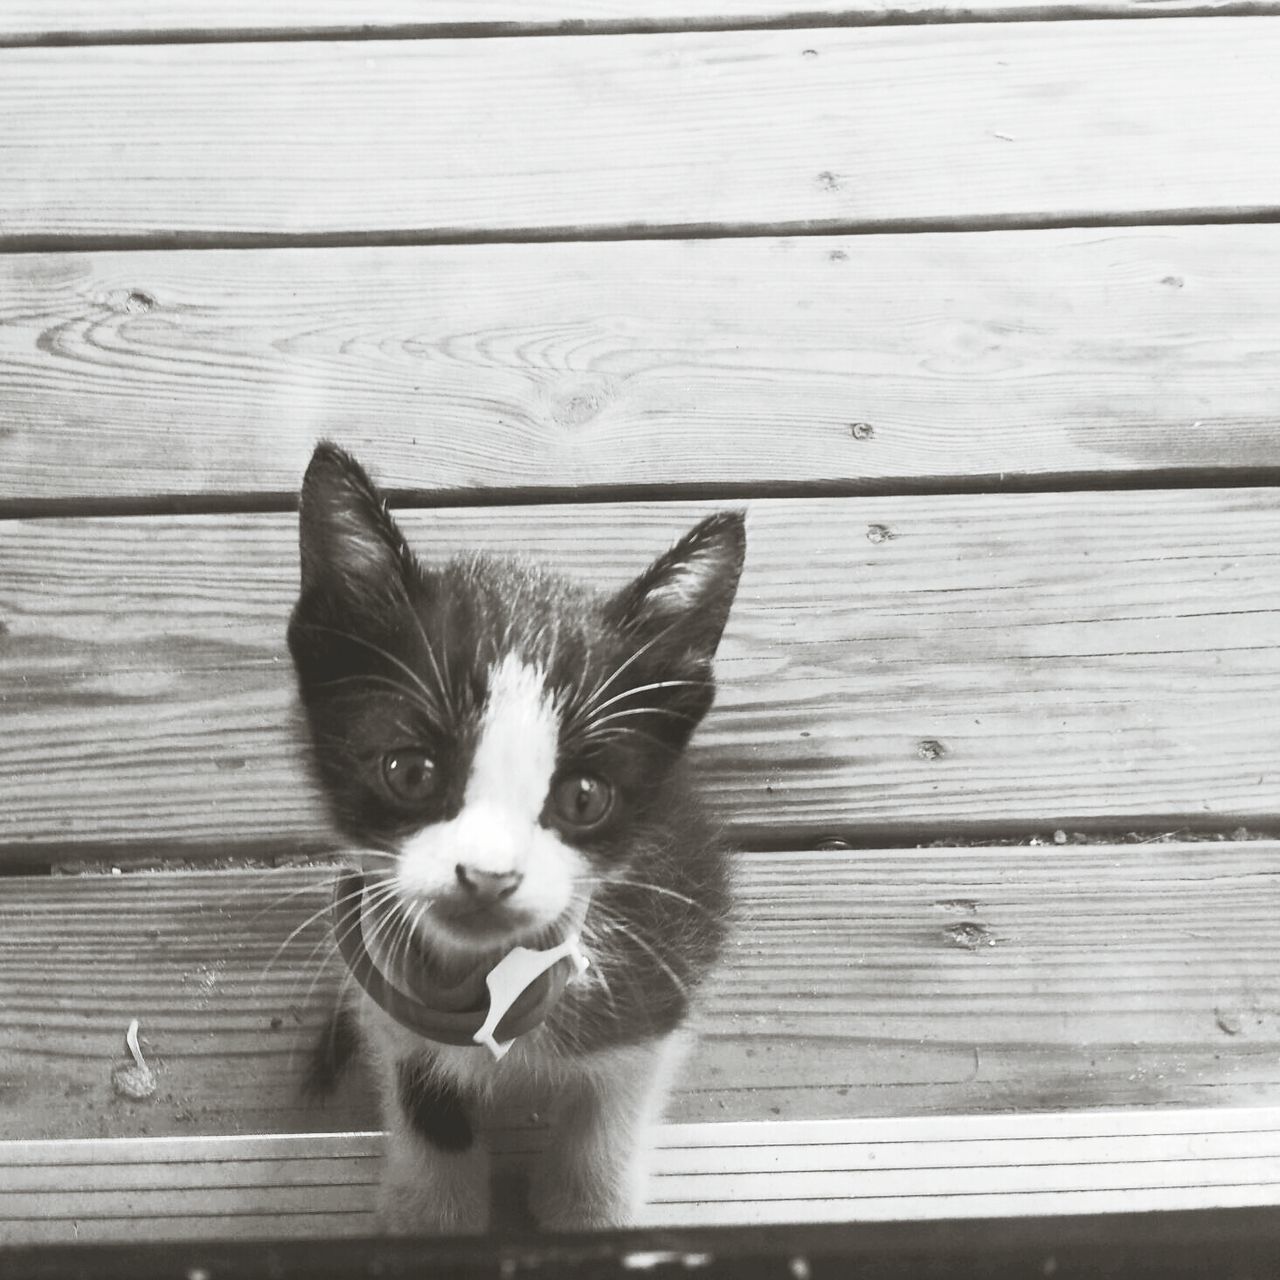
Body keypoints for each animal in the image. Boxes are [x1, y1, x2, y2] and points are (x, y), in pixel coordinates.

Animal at [285, 445, 747, 1233]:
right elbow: (420, 1085)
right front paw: (433, 1214)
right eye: (410, 771)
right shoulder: (391, 999)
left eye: (584, 797)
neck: (489, 982)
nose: (489, 877)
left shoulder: (661, 967)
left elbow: (614, 1100)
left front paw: (590, 1205)